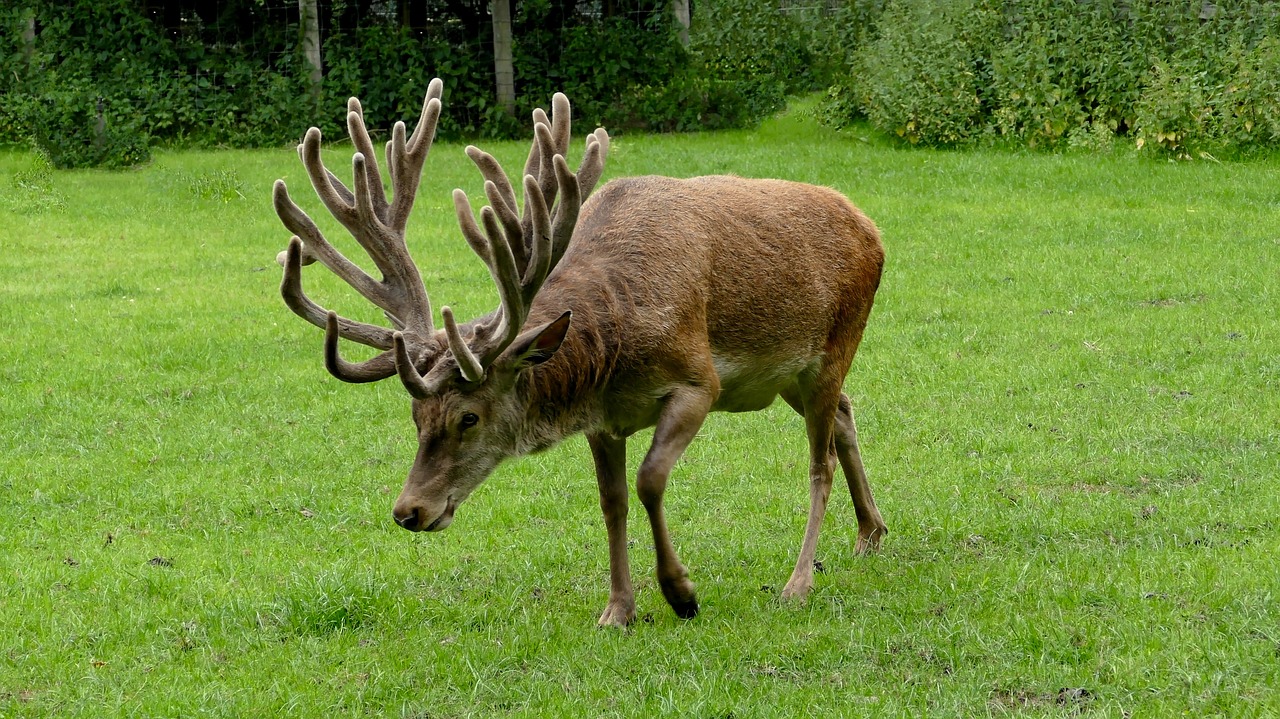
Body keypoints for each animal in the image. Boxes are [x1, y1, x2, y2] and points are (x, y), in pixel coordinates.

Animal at [273, 78, 885, 624]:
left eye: (469, 417)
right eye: (415, 416)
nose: (408, 511)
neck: (610, 349)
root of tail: (872, 229)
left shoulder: (698, 381)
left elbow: (649, 479)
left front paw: (681, 593)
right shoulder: (603, 418)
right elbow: (611, 502)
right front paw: (618, 610)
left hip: (838, 341)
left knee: (820, 460)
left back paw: (798, 583)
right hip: (790, 377)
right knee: (846, 414)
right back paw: (871, 532)